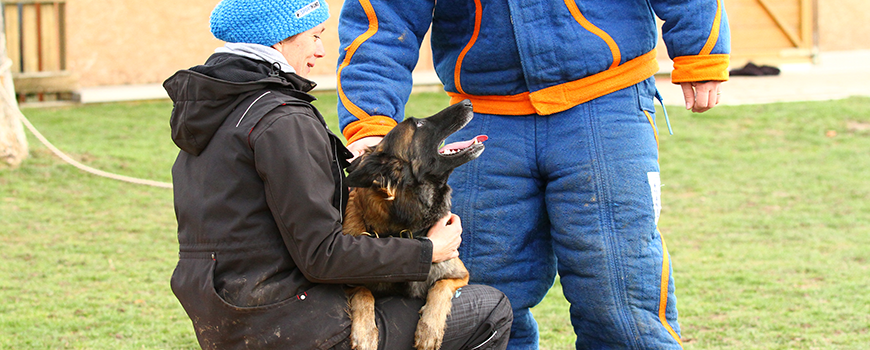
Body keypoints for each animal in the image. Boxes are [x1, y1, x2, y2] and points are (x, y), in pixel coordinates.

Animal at [344, 99, 488, 350]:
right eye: (419, 124)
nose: (468, 102)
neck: (407, 230)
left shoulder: (459, 275)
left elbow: (440, 288)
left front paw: (428, 330)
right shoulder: (347, 283)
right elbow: (363, 292)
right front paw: (365, 333)